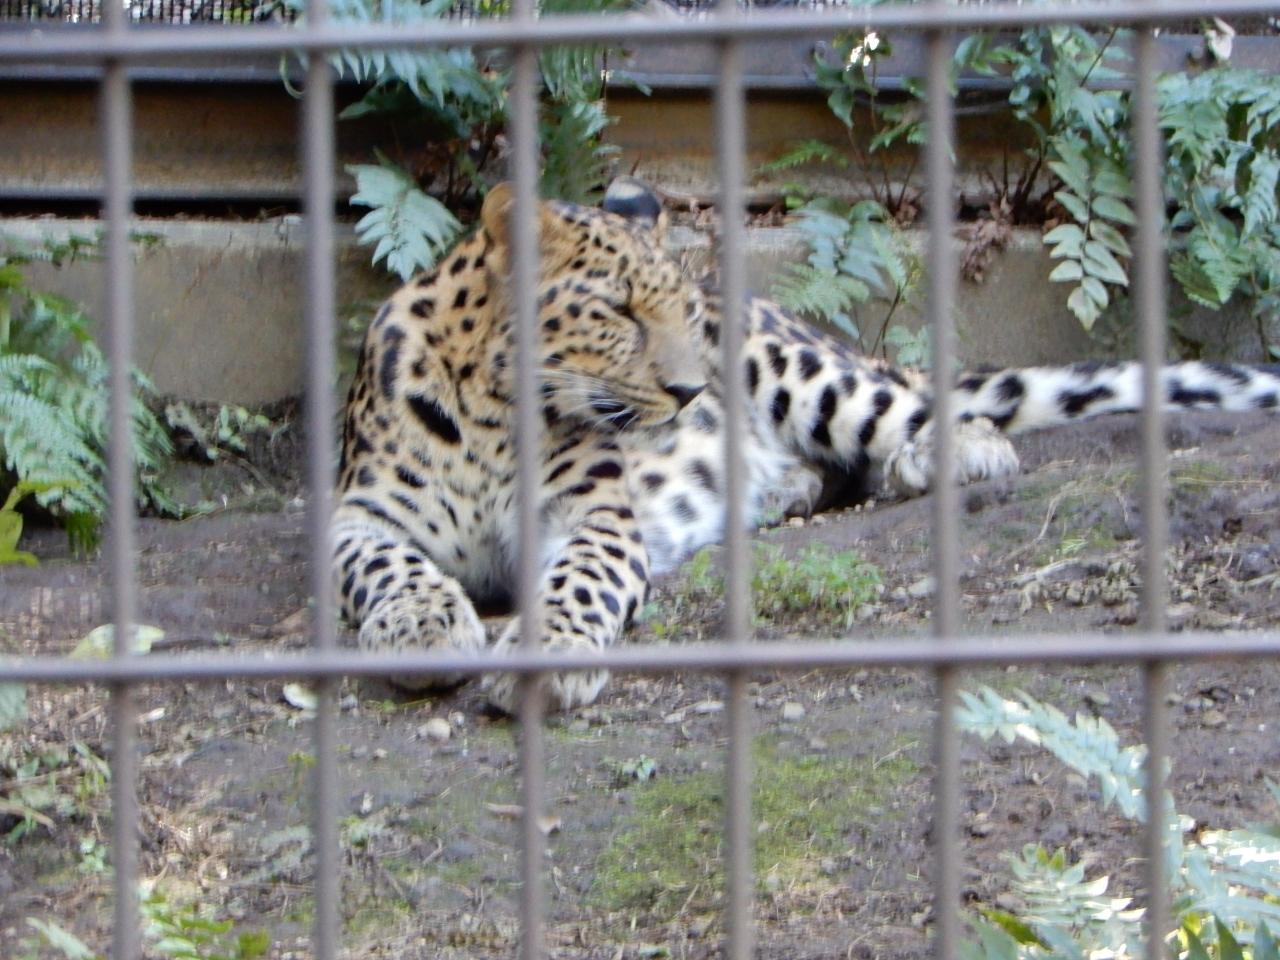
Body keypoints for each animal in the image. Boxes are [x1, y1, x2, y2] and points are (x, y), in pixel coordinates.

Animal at [332, 177, 1280, 712]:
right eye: (617, 311)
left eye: (679, 309)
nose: (691, 393)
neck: (493, 409)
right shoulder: (360, 513)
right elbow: (389, 566)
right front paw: (423, 628)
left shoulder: (594, 517)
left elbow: (576, 585)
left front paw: (548, 657)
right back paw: (780, 489)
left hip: (802, 370)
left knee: (927, 412)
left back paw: (945, 455)